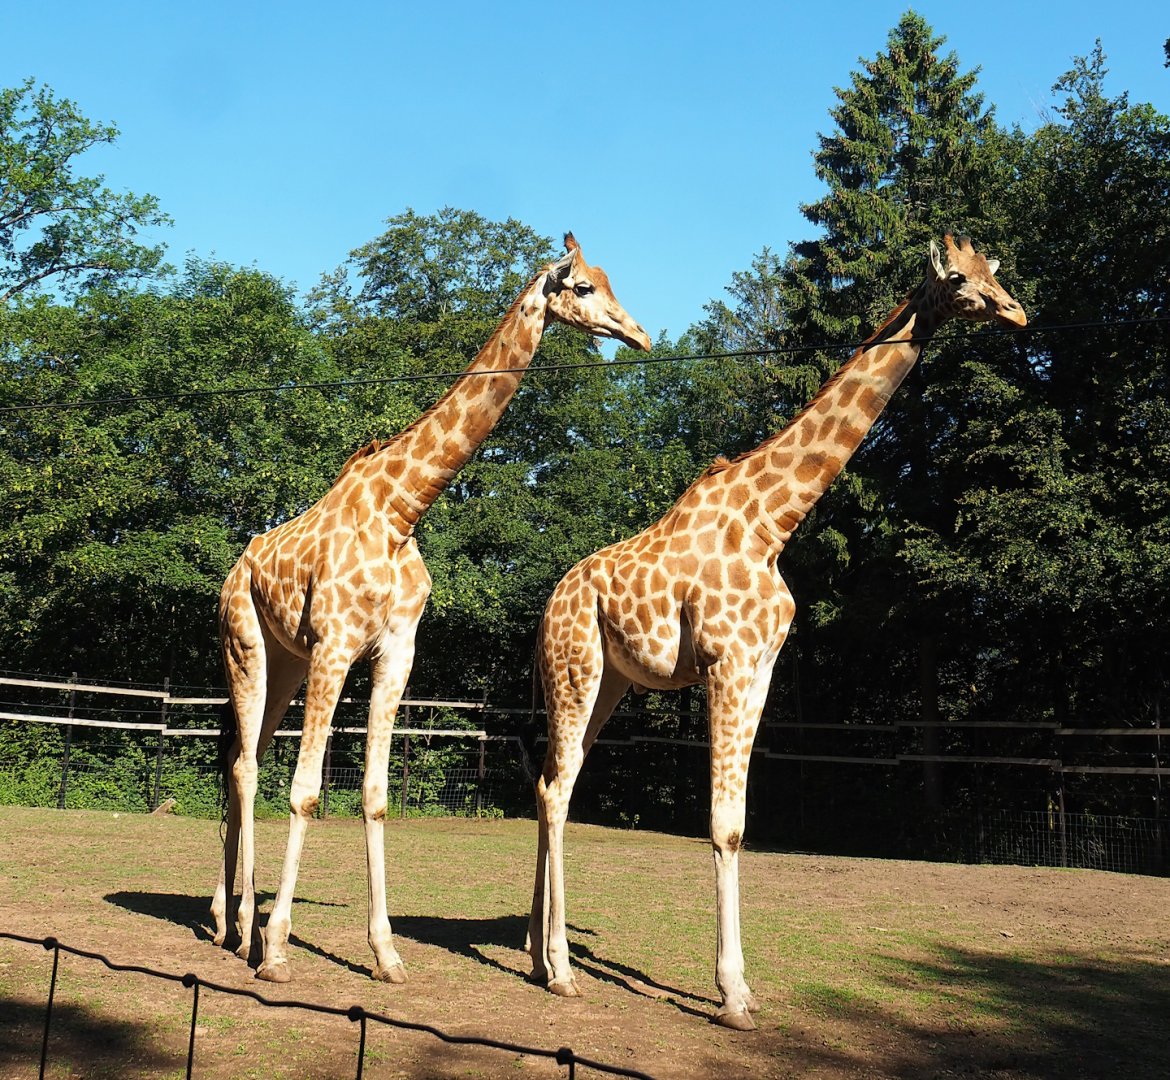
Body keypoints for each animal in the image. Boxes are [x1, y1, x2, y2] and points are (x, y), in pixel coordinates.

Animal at [212, 233, 650, 984]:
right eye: (583, 288)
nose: (641, 335)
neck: (400, 512)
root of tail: (233, 573)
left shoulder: (396, 651)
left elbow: (376, 793)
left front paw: (385, 953)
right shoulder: (336, 645)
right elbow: (305, 790)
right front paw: (278, 950)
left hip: (285, 663)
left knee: (243, 758)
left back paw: (222, 920)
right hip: (245, 643)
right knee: (246, 767)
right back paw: (245, 929)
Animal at [527, 235, 1025, 1029]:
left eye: (994, 275)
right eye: (958, 280)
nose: (1017, 313)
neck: (772, 525)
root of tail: (550, 603)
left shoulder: (760, 666)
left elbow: (740, 821)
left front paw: (742, 987)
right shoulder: (726, 661)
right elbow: (724, 825)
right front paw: (733, 996)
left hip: (606, 683)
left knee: (555, 784)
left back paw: (540, 959)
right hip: (575, 671)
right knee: (555, 788)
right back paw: (562, 971)